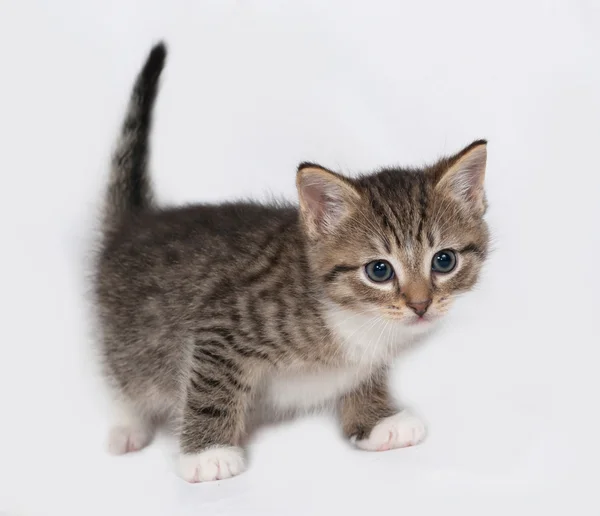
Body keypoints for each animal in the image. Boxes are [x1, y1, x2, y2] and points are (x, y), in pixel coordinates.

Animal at [96, 42, 490, 482]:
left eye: (444, 261)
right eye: (379, 270)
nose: (421, 305)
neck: (350, 317)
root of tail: (135, 222)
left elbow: (365, 374)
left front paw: (377, 421)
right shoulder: (223, 325)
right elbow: (209, 387)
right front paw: (208, 454)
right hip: (129, 336)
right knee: (126, 375)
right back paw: (128, 426)